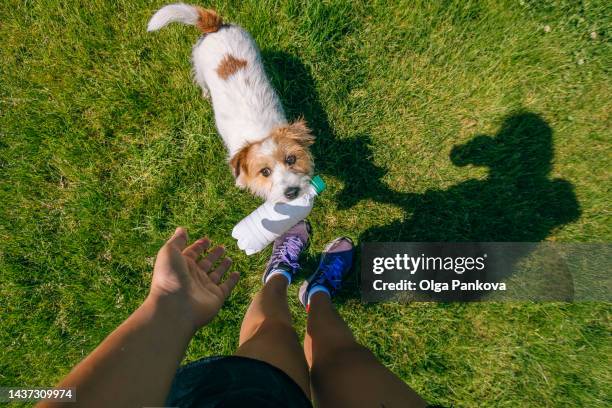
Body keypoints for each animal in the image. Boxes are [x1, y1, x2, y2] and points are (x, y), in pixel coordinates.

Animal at [146, 3, 314, 201]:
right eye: (265, 172)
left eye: (291, 159)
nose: (292, 192)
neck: (260, 133)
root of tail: (217, 27)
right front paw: (241, 182)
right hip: (199, 68)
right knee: (201, 81)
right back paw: (206, 94)